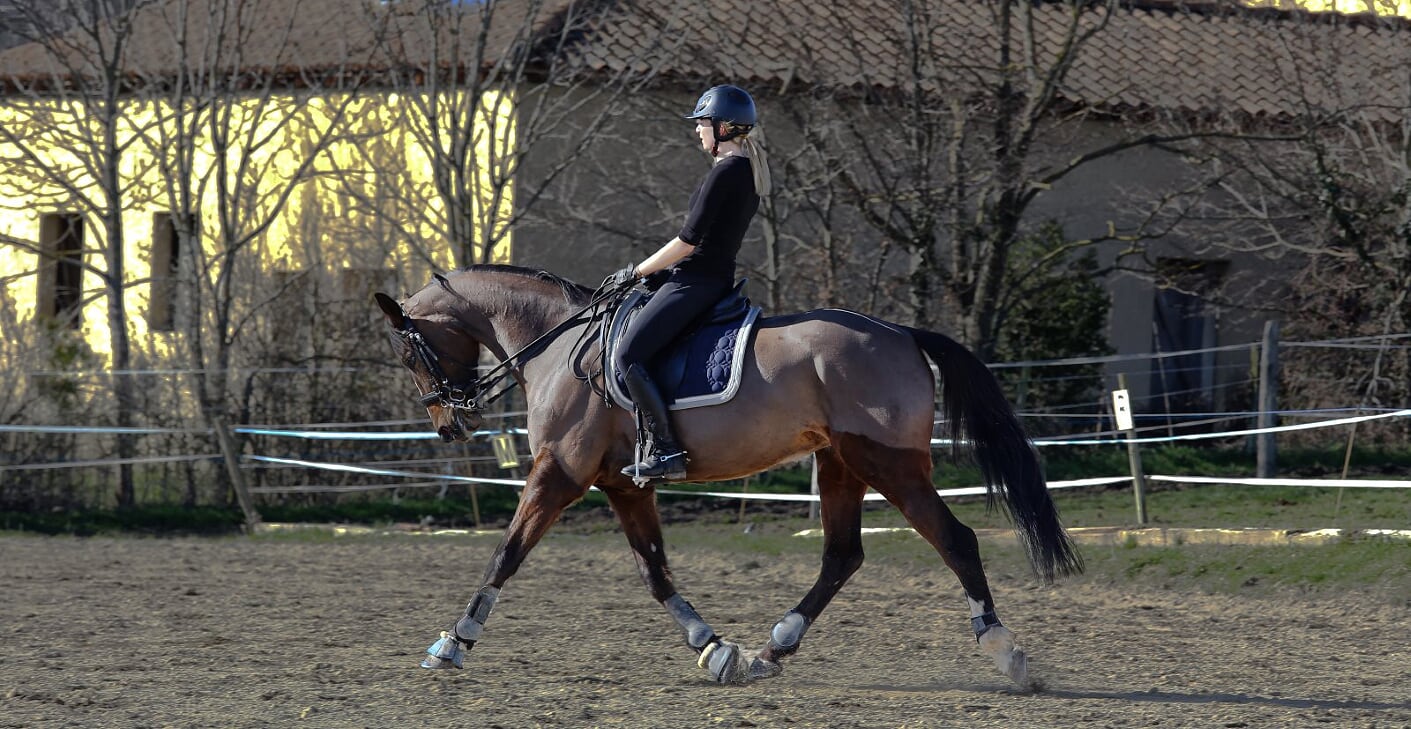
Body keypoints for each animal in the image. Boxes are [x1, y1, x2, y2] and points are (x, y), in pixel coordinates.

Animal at [375, 263, 1078, 685]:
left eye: (408, 351)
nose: (448, 424)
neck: (555, 341)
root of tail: (902, 332)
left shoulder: (559, 474)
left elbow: (507, 553)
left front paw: (453, 643)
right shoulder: (623, 484)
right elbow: (655, 572)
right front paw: (714, 648)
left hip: (888, 464)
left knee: (954, 539)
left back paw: (1006, 652)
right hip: (839, 463)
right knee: (842, 556)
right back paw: (772, 650)